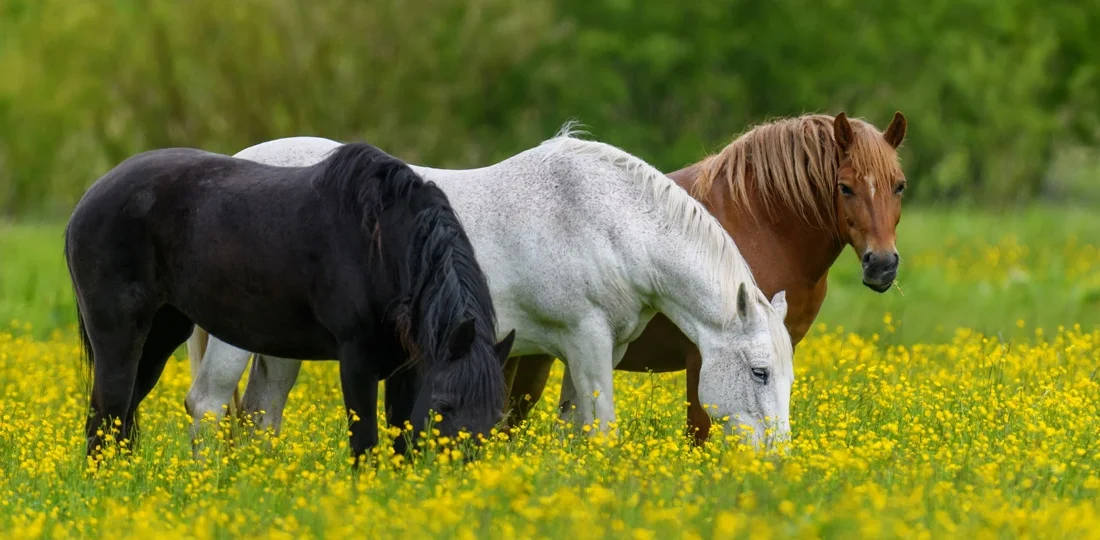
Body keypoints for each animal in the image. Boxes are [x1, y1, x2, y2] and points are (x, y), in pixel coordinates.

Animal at [65, 141, 514, 461]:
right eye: (445, 405)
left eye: (497, 414)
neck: (379, 243)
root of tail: (89, 198)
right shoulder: (357, 361)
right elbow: (364, 443)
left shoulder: (409, 365)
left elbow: (400, 440)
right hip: (120, 335)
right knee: (107, 412)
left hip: (162, 333)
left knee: (120, 415)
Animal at [184, 128, 796, 450]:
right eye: (759, 372)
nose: (776, 461)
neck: (607, 220)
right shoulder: (588, 341)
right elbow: (601, 429)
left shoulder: (590, 350)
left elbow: (575, 430)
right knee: (208, 404)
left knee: (261, 414)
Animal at [506, 111, 910, 444]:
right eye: (845, 187)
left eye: (899, 185)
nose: (881, 264)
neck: (760, 228)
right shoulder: (704, 358)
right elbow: (699, 434)